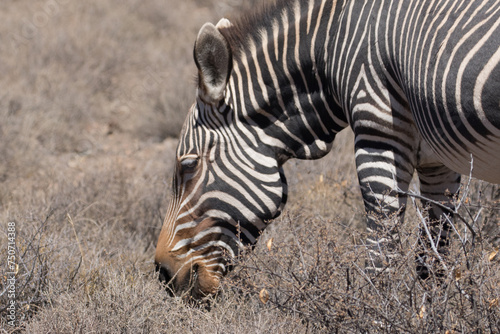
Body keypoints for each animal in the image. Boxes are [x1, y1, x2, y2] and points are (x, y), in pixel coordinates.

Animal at [155, 0, 500, 298]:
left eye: (188, 166)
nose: (162, 274)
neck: (333, 48)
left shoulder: (379, 132)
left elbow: (379, 258)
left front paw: (376, 314)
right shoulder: (437, 163)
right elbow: (431, 259)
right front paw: (430, 314)